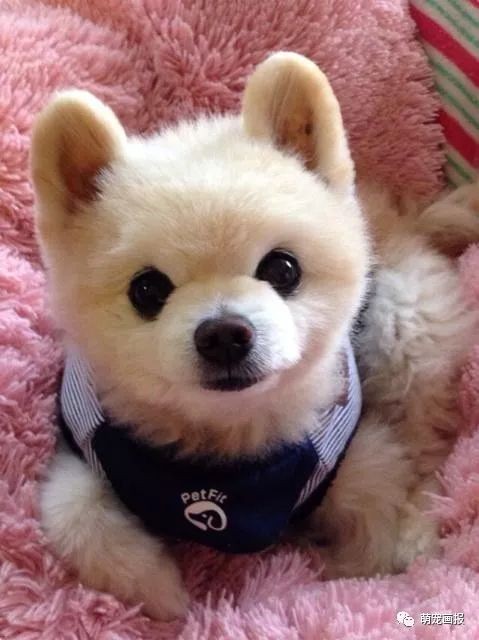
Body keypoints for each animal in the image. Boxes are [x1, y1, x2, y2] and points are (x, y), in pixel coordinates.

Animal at [31, 52, 479, 620]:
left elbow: (372, 534)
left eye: (283, 269)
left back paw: (419, 527)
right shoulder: (84, 454)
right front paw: (166, 592)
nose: (224, 333)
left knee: (423, 440)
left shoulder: (358, 457)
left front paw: (349, 568)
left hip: (404, 330)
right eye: (147, 290)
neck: (226, 455)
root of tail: (401, 219)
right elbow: (77, 518)